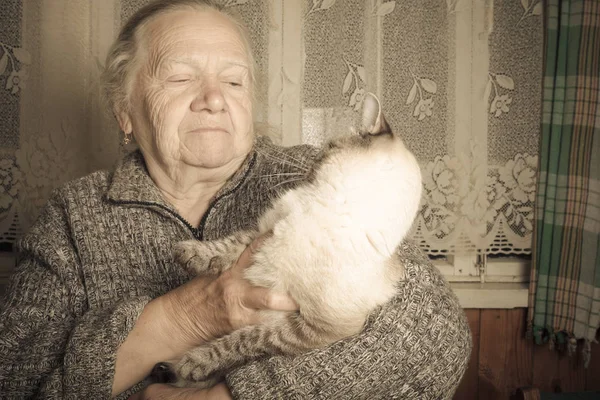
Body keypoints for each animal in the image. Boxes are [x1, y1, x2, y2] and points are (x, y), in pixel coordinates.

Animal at [155, 93, 424, 388]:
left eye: (329, 147)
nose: (312, 162)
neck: (327, 206)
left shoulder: (313, 327)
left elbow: (243, 342)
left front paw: (196, 362)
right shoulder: (264, 231)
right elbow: (230, 245)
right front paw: (191, 254)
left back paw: (176, 370)